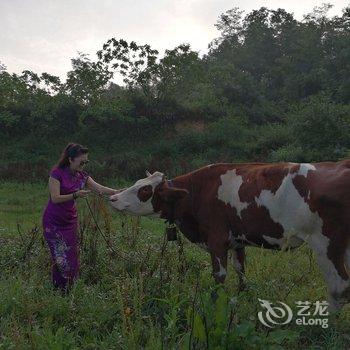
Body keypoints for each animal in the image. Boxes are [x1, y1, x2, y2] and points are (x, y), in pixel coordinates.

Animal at [110, 161, 350, 312]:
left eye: (144, 190)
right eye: (137, 184)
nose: (113, 198)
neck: (196, 192)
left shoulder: (217, 239)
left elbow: (219, 276)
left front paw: (217, 303)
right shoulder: (237, 241)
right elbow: (241, 271)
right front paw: (241, 297)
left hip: (326, 244)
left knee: (339, 287)